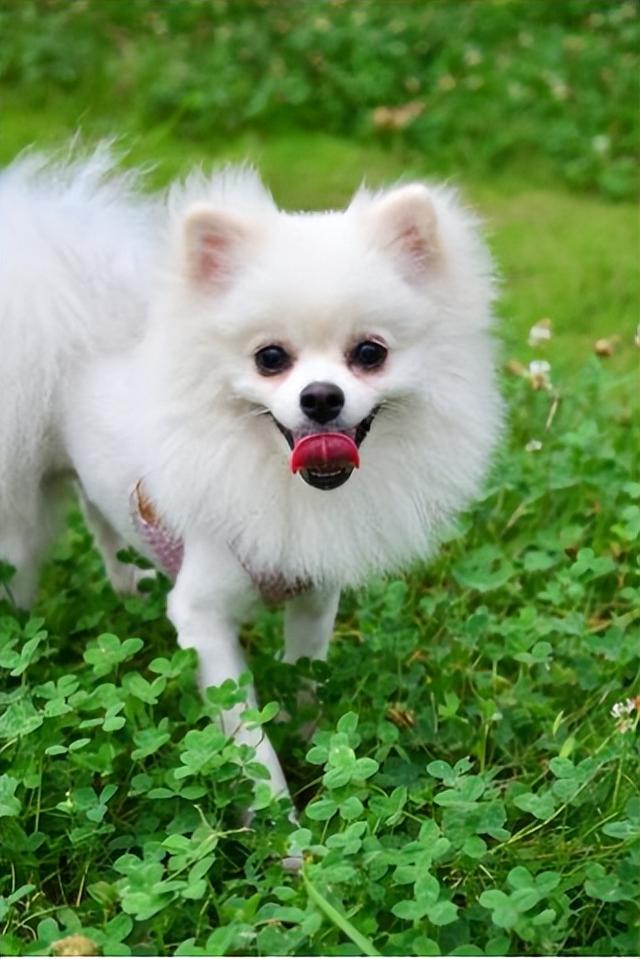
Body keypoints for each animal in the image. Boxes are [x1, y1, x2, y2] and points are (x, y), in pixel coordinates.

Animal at [0, 148, 500, 804]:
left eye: (370, 354)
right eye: (270, 358)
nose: (321, 396)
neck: (278, 482)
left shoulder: (314, 598)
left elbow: (305, 682)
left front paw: (314, 745)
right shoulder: (203, 618)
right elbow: (251, 744)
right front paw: (282, 822)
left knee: (102, 523)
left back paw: (128, 588)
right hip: (21, 520)